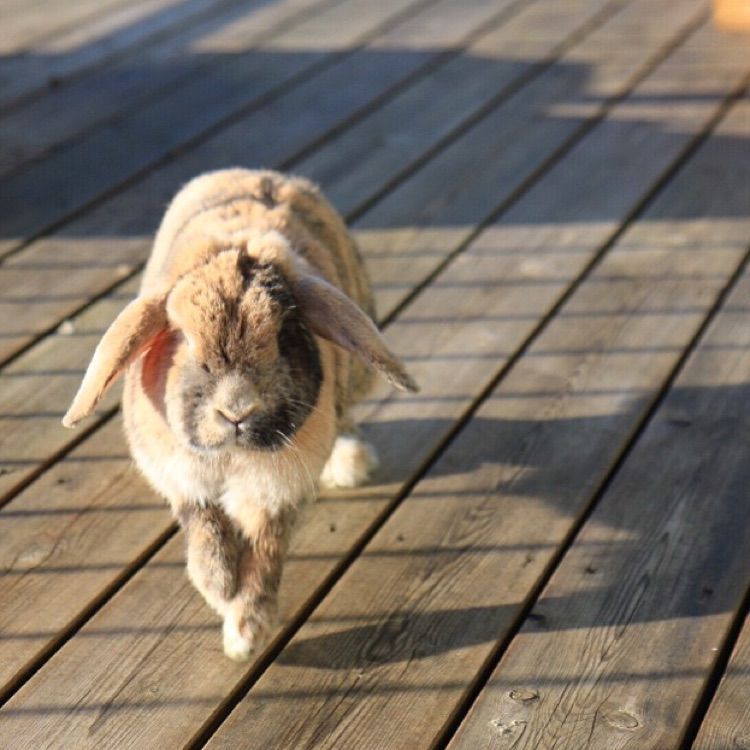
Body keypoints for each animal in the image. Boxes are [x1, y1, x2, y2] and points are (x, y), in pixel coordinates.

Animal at [62, 169, 417, 660]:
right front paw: (220, 587)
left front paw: (246, 633)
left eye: (285, 334)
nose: (236, 411)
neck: (231, 455)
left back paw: (351, 464)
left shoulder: (275, 490)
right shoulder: (183, 478)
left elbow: (266, 551)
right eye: (182, 338)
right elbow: (205, 530)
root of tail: (264, 175)